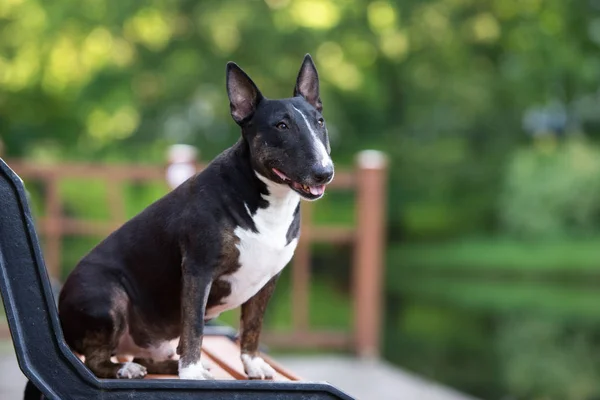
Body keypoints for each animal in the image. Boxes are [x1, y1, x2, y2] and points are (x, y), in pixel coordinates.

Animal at [57, 54, 332, 380]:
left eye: (319, 122)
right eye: (281, 125)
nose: (324, 172)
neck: (268, 201)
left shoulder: (268, 279)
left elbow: (253, 326)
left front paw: (253, 364)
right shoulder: (198, 270)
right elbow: (194, 325)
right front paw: (191, 371)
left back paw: (164, 365)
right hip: (107, 296)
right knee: (95, 361)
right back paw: (127, 368)